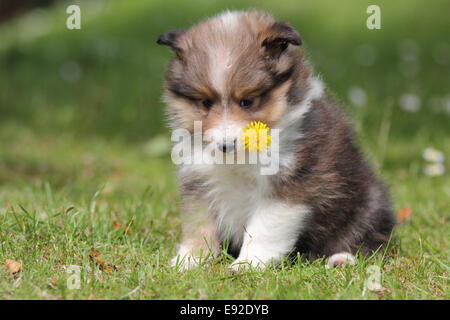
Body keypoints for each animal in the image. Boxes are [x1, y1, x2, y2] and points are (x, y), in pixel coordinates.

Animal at [156, 10, 396, 270]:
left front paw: (247, 264)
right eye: (205, 103)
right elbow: (198, 224)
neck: (238, 161)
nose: (225, 146)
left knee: (365, 238)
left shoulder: (286, 186)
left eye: (247, 101)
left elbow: (262, 230)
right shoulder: (198, 180)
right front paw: (189, 260)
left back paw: (342, 258)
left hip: (367, 204)